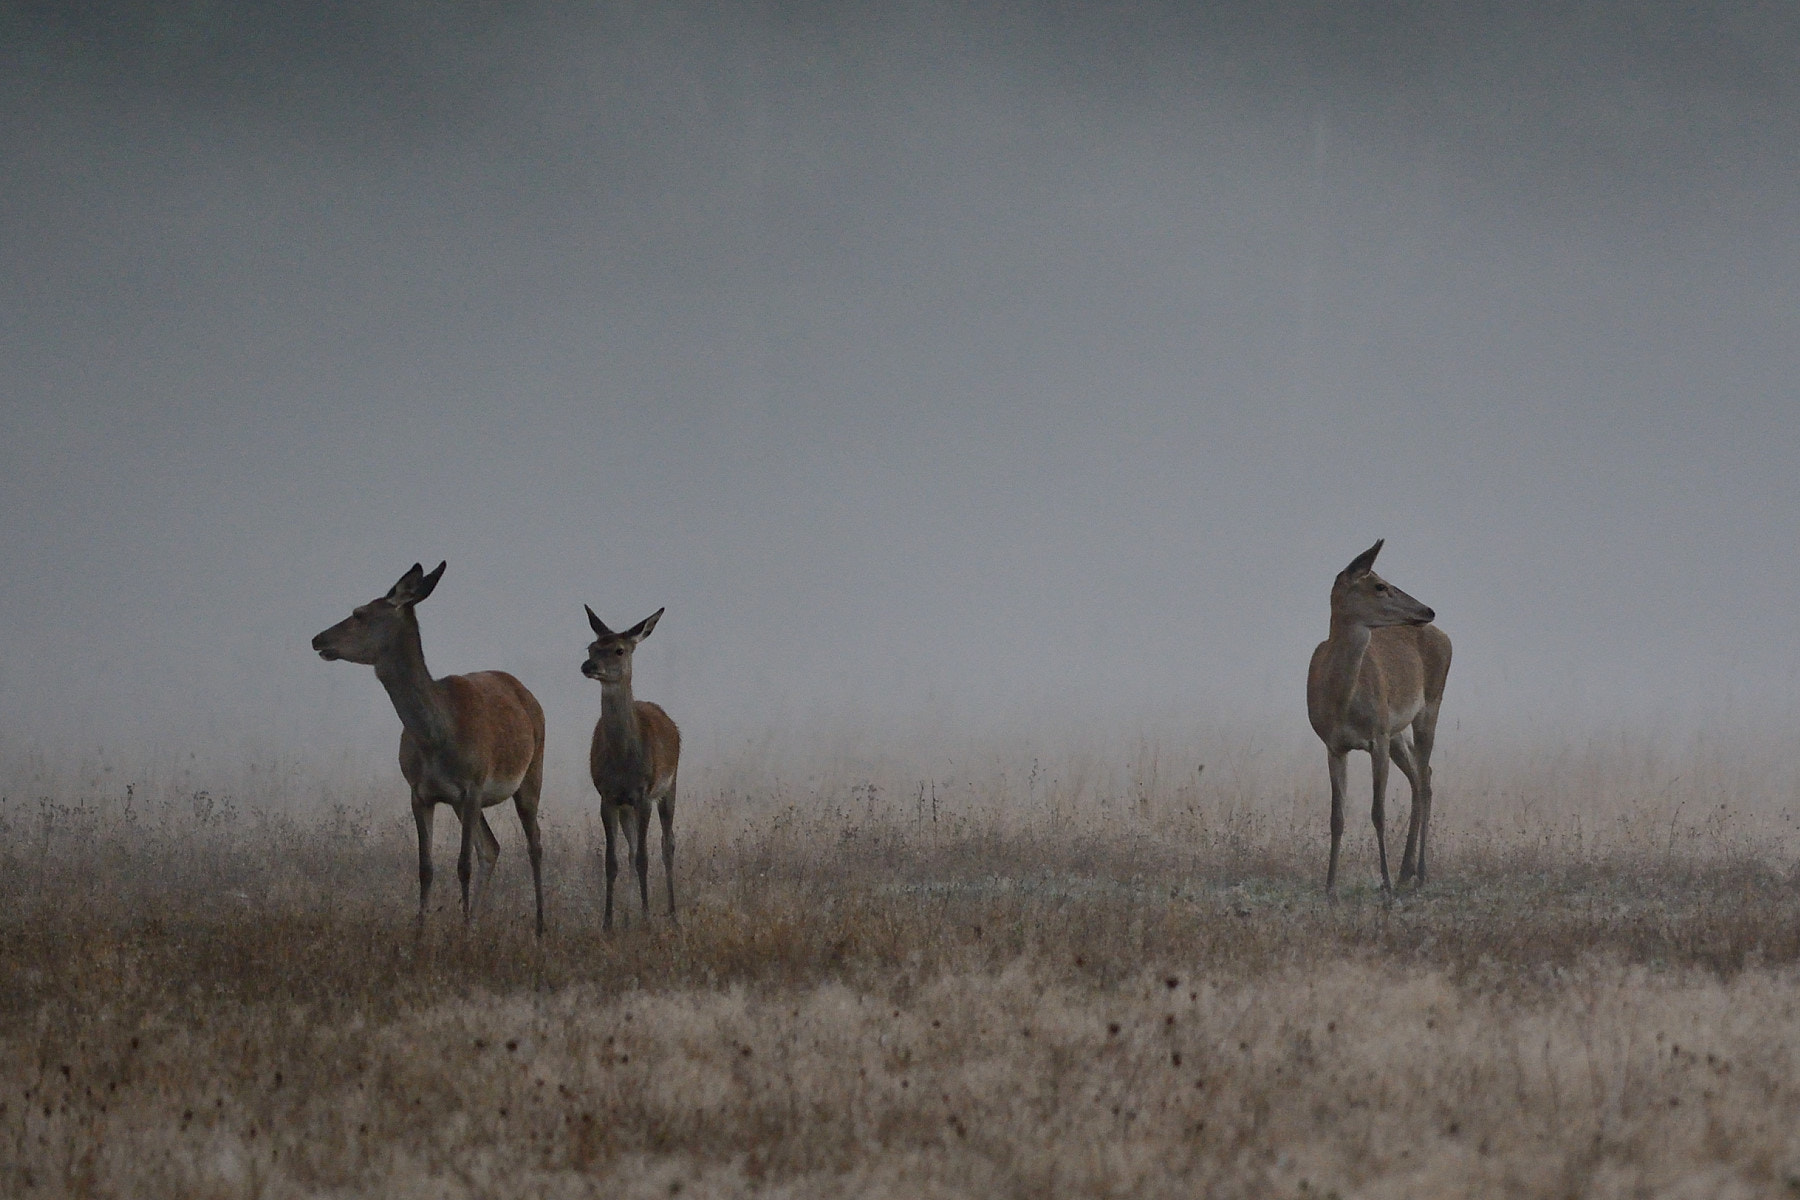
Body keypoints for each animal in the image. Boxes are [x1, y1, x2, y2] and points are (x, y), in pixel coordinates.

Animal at [313, 564, 543, 935]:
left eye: (359, 613)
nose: (318, 639)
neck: (436, 740)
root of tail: (526, 693)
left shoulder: (474, 785)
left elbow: (462, 864)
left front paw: (460, 935)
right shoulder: (419, 792)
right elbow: (425, 867)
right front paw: (422, 932)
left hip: (532, 772)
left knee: (533, 844)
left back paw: (538, 924)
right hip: (464, 803)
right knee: (491, 847)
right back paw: (476, 921)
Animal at [583, 604, 680, 935]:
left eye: (619, 649)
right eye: (591, 646)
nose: (588, 666)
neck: (624, 765)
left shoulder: (644, 794)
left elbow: (643, 858)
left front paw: (648, 918)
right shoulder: (607, 796)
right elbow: (612, 860)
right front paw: (608, 923)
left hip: (670, 786)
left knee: (667, 845)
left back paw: (672, 915)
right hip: (626, 806)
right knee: (629, 848)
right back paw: (628, 916)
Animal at [1310, 539, 1447, 895]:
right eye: (1380, 585)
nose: (1428, 610)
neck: (1342, 703)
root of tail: (1444, 635)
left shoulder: (1377, 737)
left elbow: (1378, 812)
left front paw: (1384, 886)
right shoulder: (1333, 745)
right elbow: (1337, 816)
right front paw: (1329, 889)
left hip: (1429, 706)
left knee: (1424, 776)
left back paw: (1418, 873)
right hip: (1397, 731)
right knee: (1420, 776)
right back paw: (1406, 871)